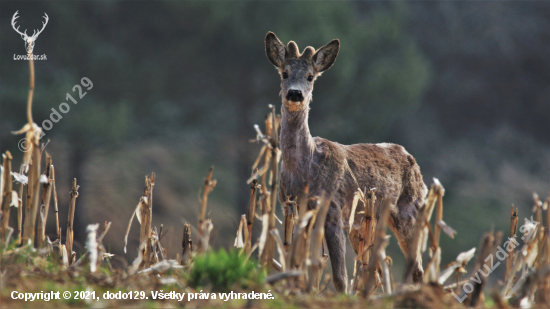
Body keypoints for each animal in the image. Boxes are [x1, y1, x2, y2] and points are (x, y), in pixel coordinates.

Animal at [266, 31, 430, 292]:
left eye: (310, 76)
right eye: (284, 73)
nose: (295, 94)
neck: (305, 170)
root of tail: (410, 158)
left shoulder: (332, 207)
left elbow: (339, 277)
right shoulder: (290, 207)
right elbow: (298, 265)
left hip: (409, 209)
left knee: (416, 268)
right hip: (365, 221)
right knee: (377, 269)